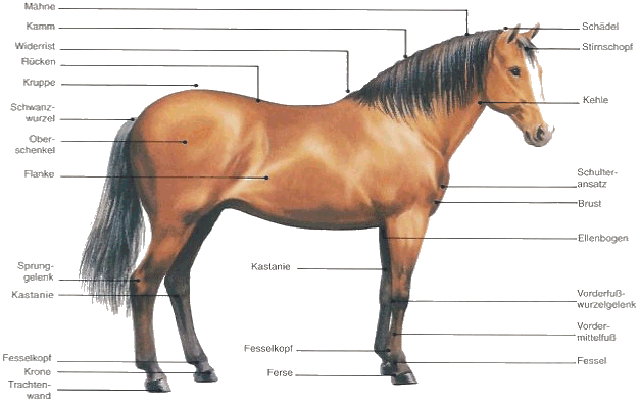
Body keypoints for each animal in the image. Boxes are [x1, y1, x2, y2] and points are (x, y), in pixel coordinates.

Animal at [80, 24, 552, 392]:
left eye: (538, 70)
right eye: (514, 69)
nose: (543, 133)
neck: (407, 125)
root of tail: (141, 118)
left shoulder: (387, 224)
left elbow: (385, 290)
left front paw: (384, 359)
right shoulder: (408, 220)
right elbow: (401, 292)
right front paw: (402, 368)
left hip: (201, 220)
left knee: (177, 282)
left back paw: (203, 366)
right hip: (174, 224)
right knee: (144, 282)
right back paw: (155, 374)